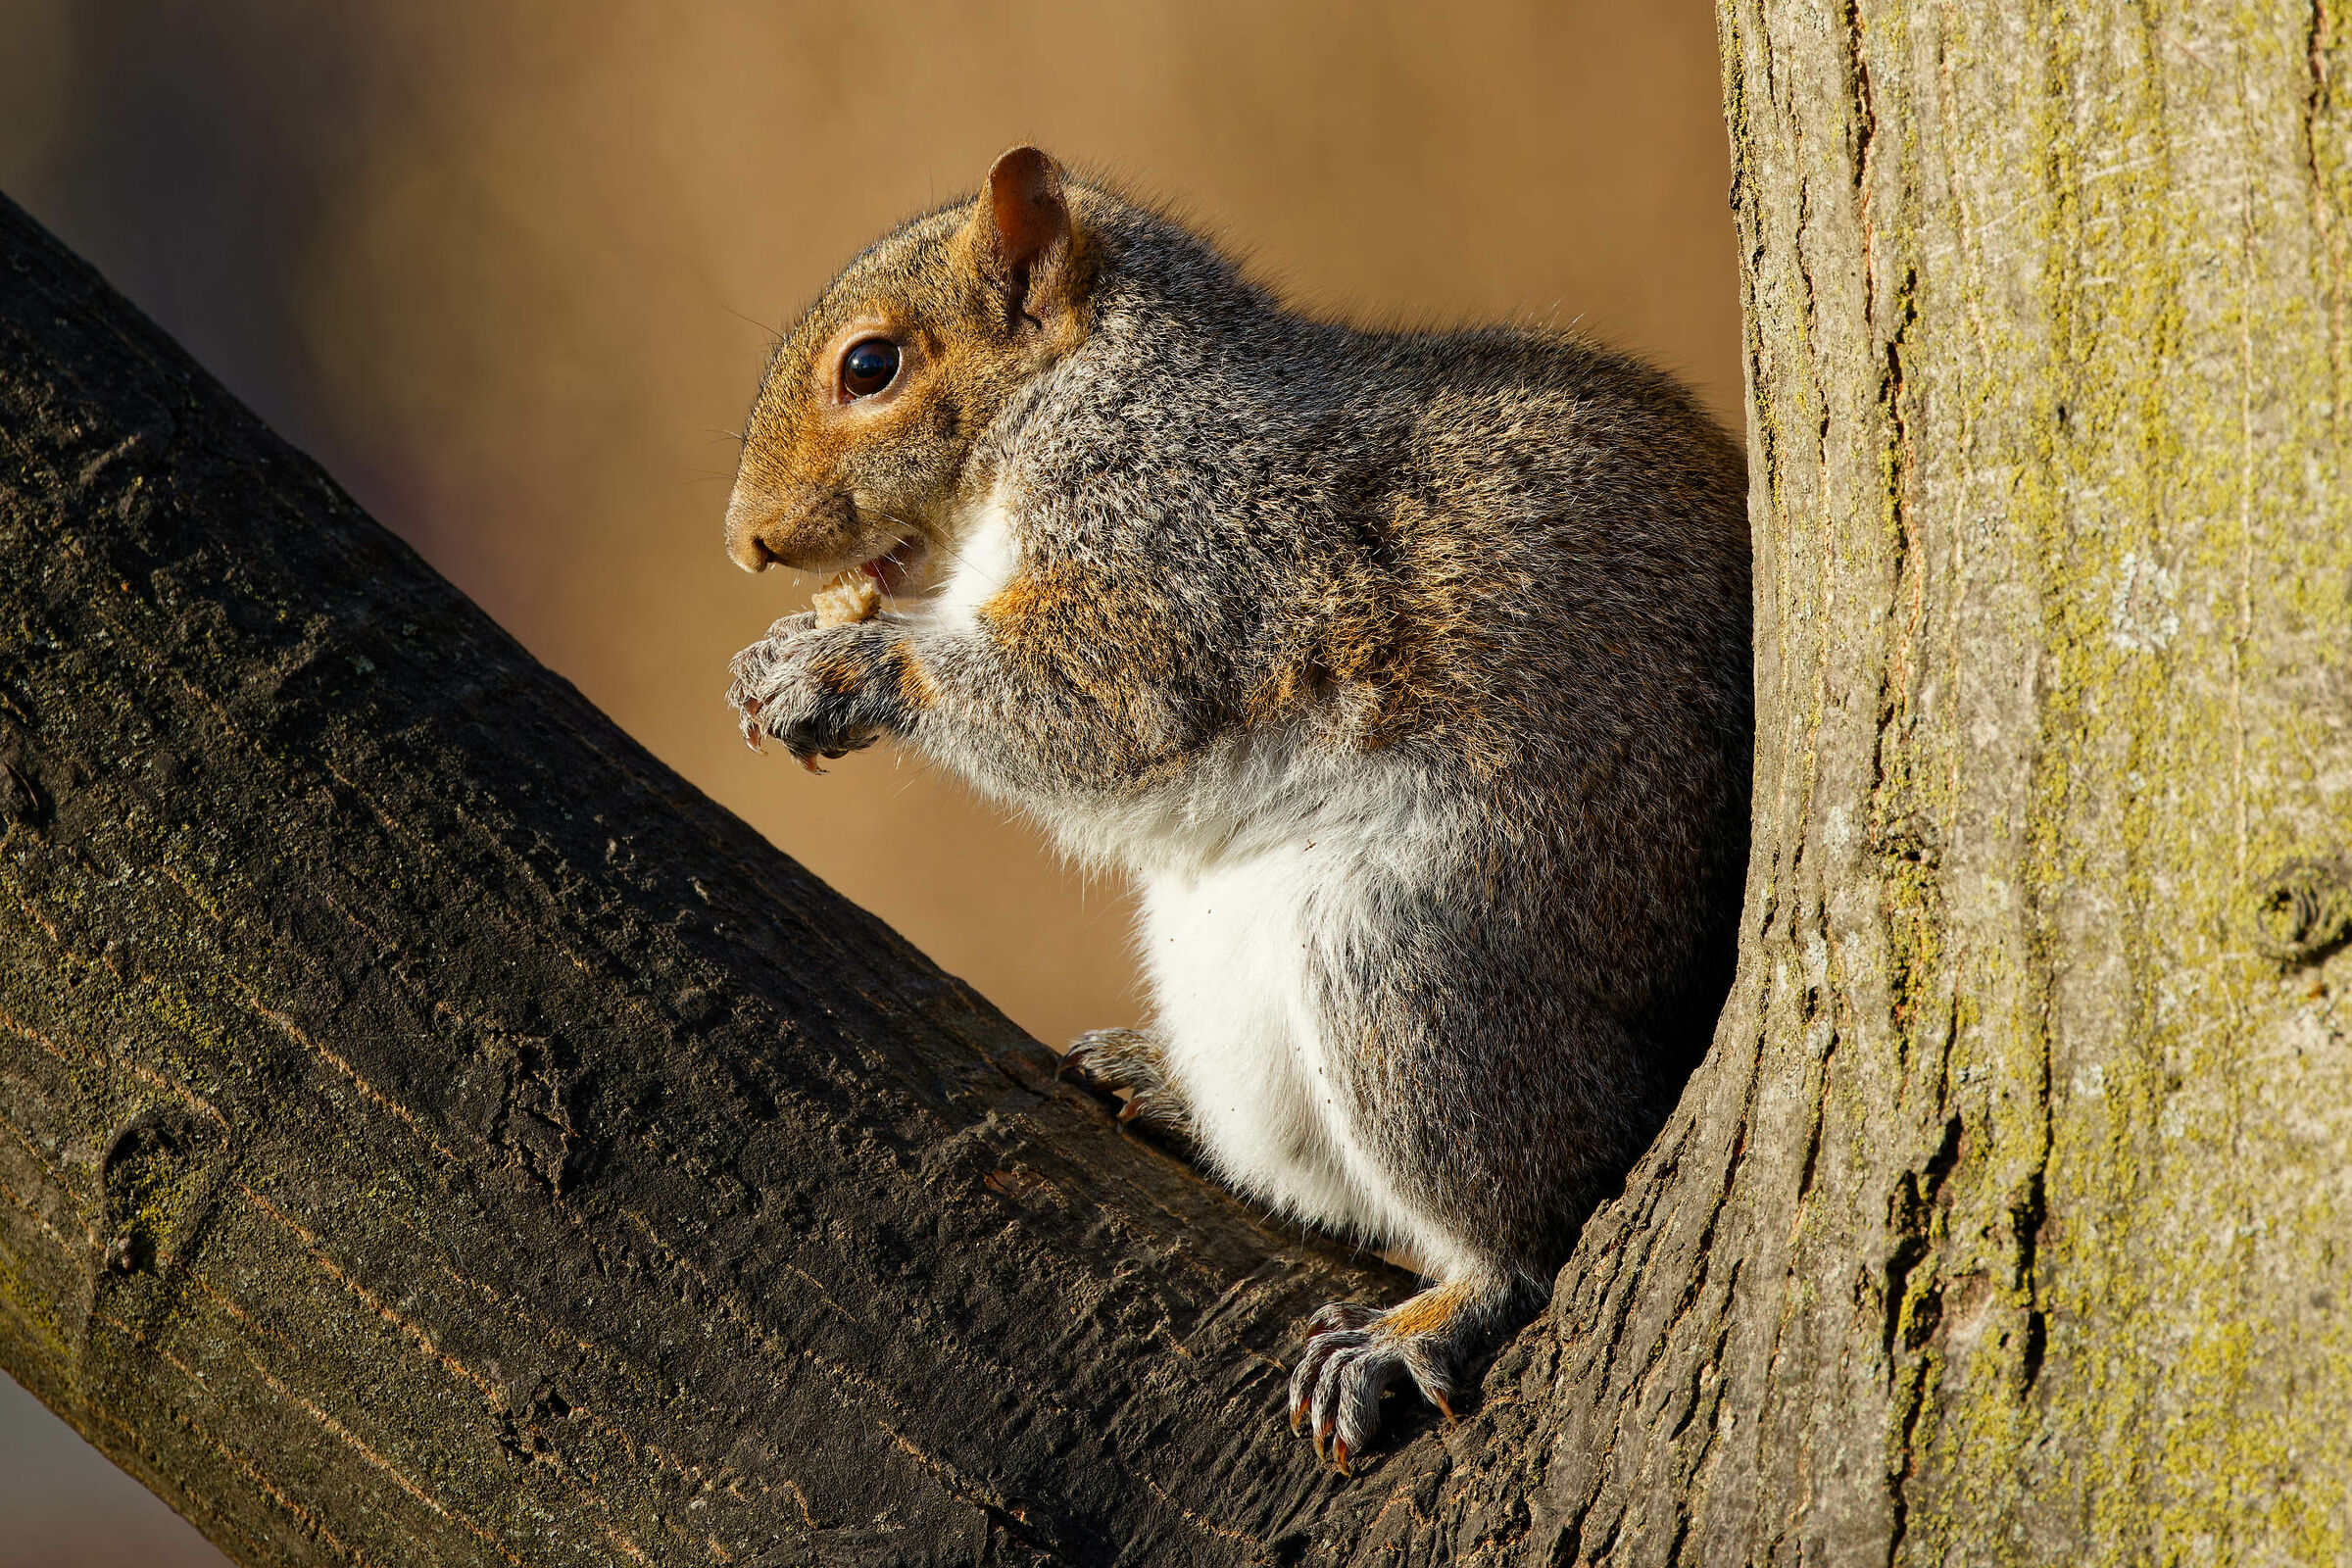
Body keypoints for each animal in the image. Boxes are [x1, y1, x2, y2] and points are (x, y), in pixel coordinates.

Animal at [722, 147, 1750, 1470]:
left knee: (1535, 1223)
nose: (745, 543)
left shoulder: (1188, 543)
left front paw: (835, 668)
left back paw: (1428, 1320)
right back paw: (1163, 1083)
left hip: (1411, 972)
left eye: (870, 367)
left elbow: (1099, 699)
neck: (1089, 389)